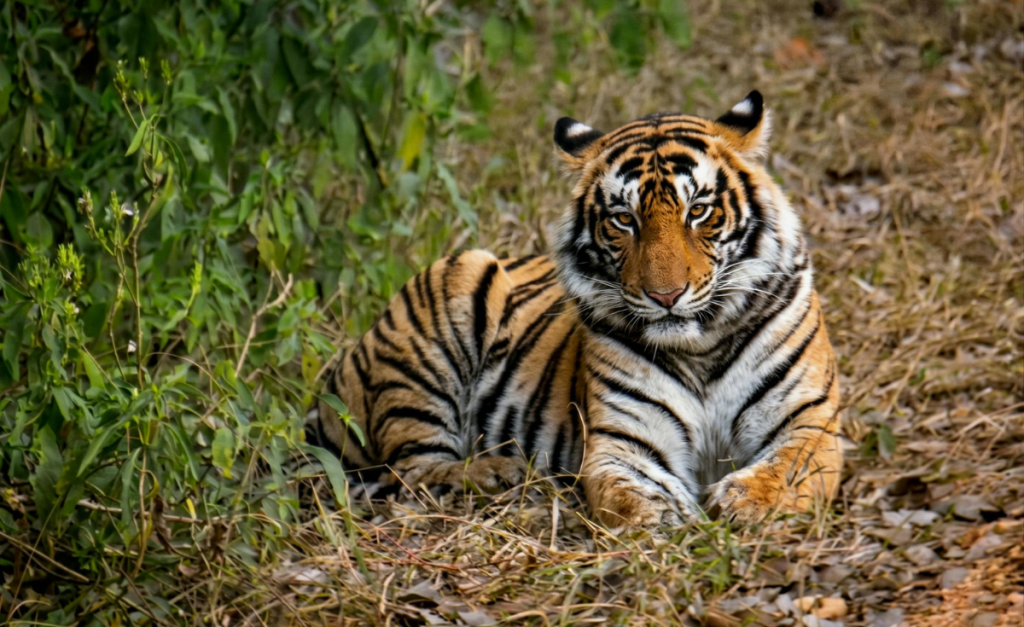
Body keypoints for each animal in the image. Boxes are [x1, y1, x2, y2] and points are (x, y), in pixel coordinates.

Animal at [315, 91, 842, 528]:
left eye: (698, 211)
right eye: (624, 220)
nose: (665, 296)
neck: (701, 347)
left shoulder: (809, 419)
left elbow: (787, 469)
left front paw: (742, 503)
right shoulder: (622, 439)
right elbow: (633, 495)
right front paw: (670, 523)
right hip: (451, 293)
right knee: (412, 469)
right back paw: (498, 471)